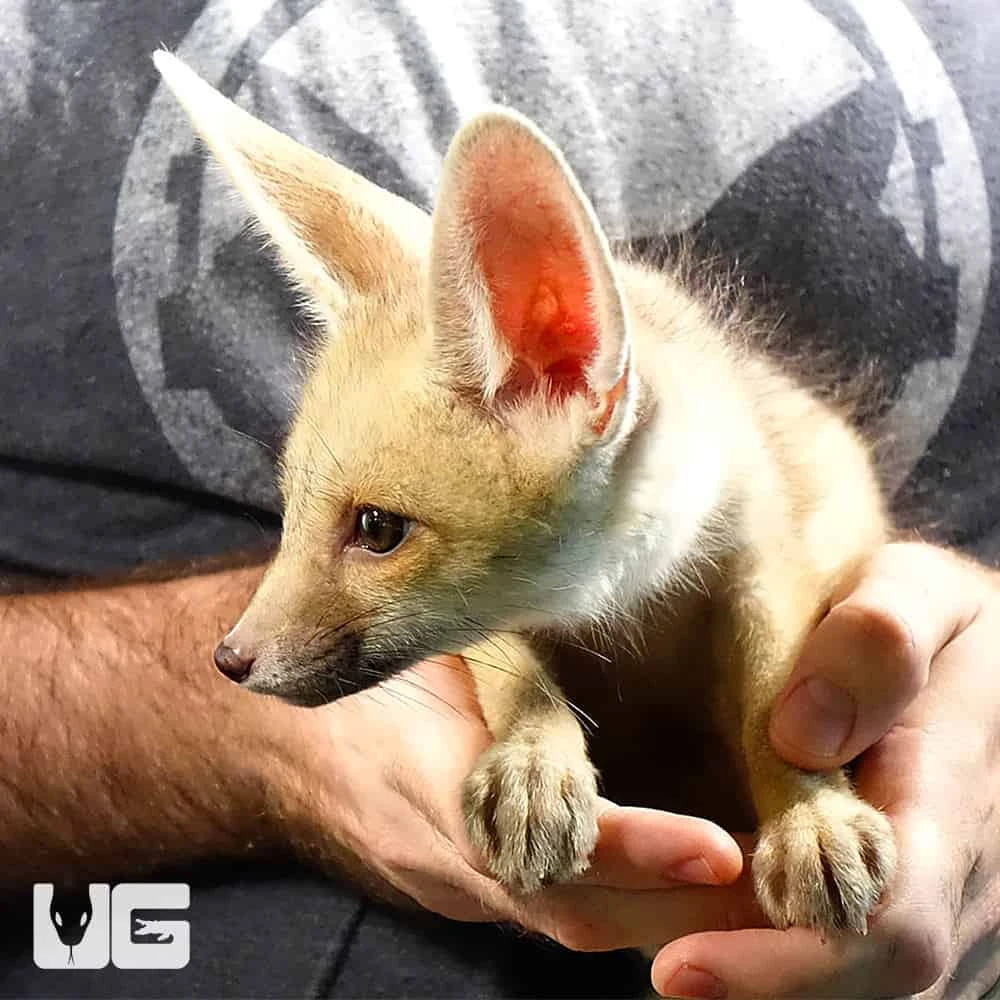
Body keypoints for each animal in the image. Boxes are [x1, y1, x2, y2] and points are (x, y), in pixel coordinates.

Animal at [154, 51, 897, 938]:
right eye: (289, 512)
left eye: (377, 528)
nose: (227, 660)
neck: (628, 604)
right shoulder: (502, 622)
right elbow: (509, 660)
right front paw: (535, 761)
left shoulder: (765, 555)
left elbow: (772, 696)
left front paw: (811, 813)